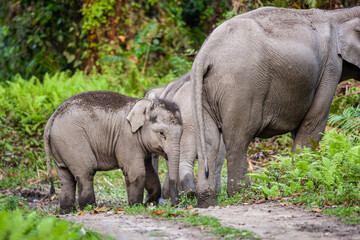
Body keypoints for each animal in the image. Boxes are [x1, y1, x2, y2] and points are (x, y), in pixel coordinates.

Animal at [44, 91, 183, 213]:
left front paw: (150, 204)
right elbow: (136, 172)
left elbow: (150, 172)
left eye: (182, 133)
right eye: (161, 133)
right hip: (72, 141)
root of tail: (51, 119)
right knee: (86, 172)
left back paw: (67, 211)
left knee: (66, 178)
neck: (141, 103)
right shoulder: (127, 139)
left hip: (60, 146)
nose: (175, 204)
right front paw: (136, 206)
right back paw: (90, 208)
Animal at [193, 6, 360, 206]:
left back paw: (208, 203)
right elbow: (314, 124)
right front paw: (302, 180)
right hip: (241, 85)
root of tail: (205, 54)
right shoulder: (331, 67)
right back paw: (242, 196)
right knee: (238, 139)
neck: (337, 15)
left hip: (205, 91)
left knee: (210, 143)